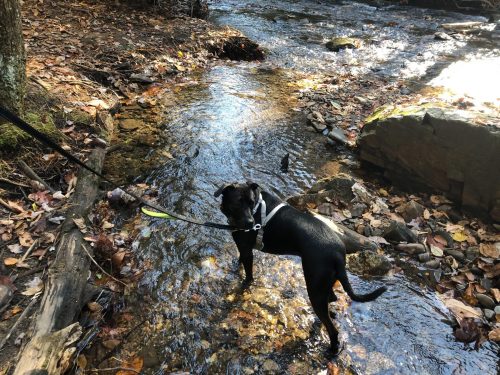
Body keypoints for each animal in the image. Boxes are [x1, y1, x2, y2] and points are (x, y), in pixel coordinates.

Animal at [215, 181, 386, 352]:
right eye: (238, 202)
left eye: (251, 203)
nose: (251, 223)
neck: (257, 207)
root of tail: (338, 253)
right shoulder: (244, 249)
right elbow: (240, 261)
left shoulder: (246, 250)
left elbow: (248, 276)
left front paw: (244, 285)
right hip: (324, 283)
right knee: (332, 299)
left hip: (315, 286)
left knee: (332, 329)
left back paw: (331, 350)